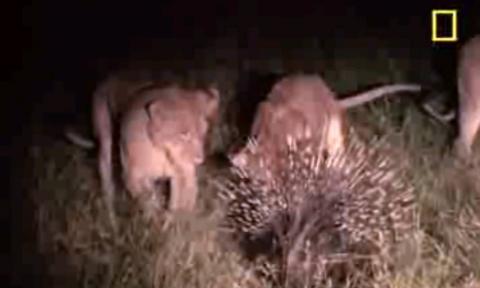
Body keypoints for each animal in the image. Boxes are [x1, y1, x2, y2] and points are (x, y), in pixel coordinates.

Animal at [65, 72, 219, 232]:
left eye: (204, 131)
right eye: (184, 134)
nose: (199, 159)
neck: (161, 154)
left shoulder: (184, 175)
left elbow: (179, 203)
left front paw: (174, 226)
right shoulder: (131, 175)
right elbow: (148, 201)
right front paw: (155, 227)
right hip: (104, 136)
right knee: (107, 178)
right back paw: (111, 219)